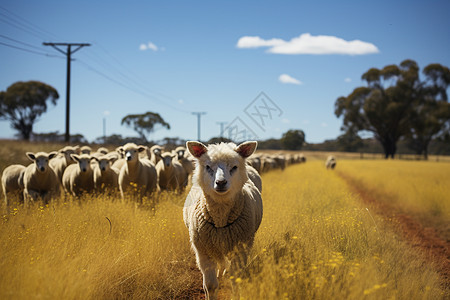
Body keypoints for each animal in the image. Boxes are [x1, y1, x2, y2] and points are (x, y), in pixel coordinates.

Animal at [184, 141, 264, 300]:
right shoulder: (203, 251)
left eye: (234, 167)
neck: (220, 218)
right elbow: (210, 285)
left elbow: (236, 279)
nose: (221, 182)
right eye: (208, 167)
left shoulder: (240, 249)